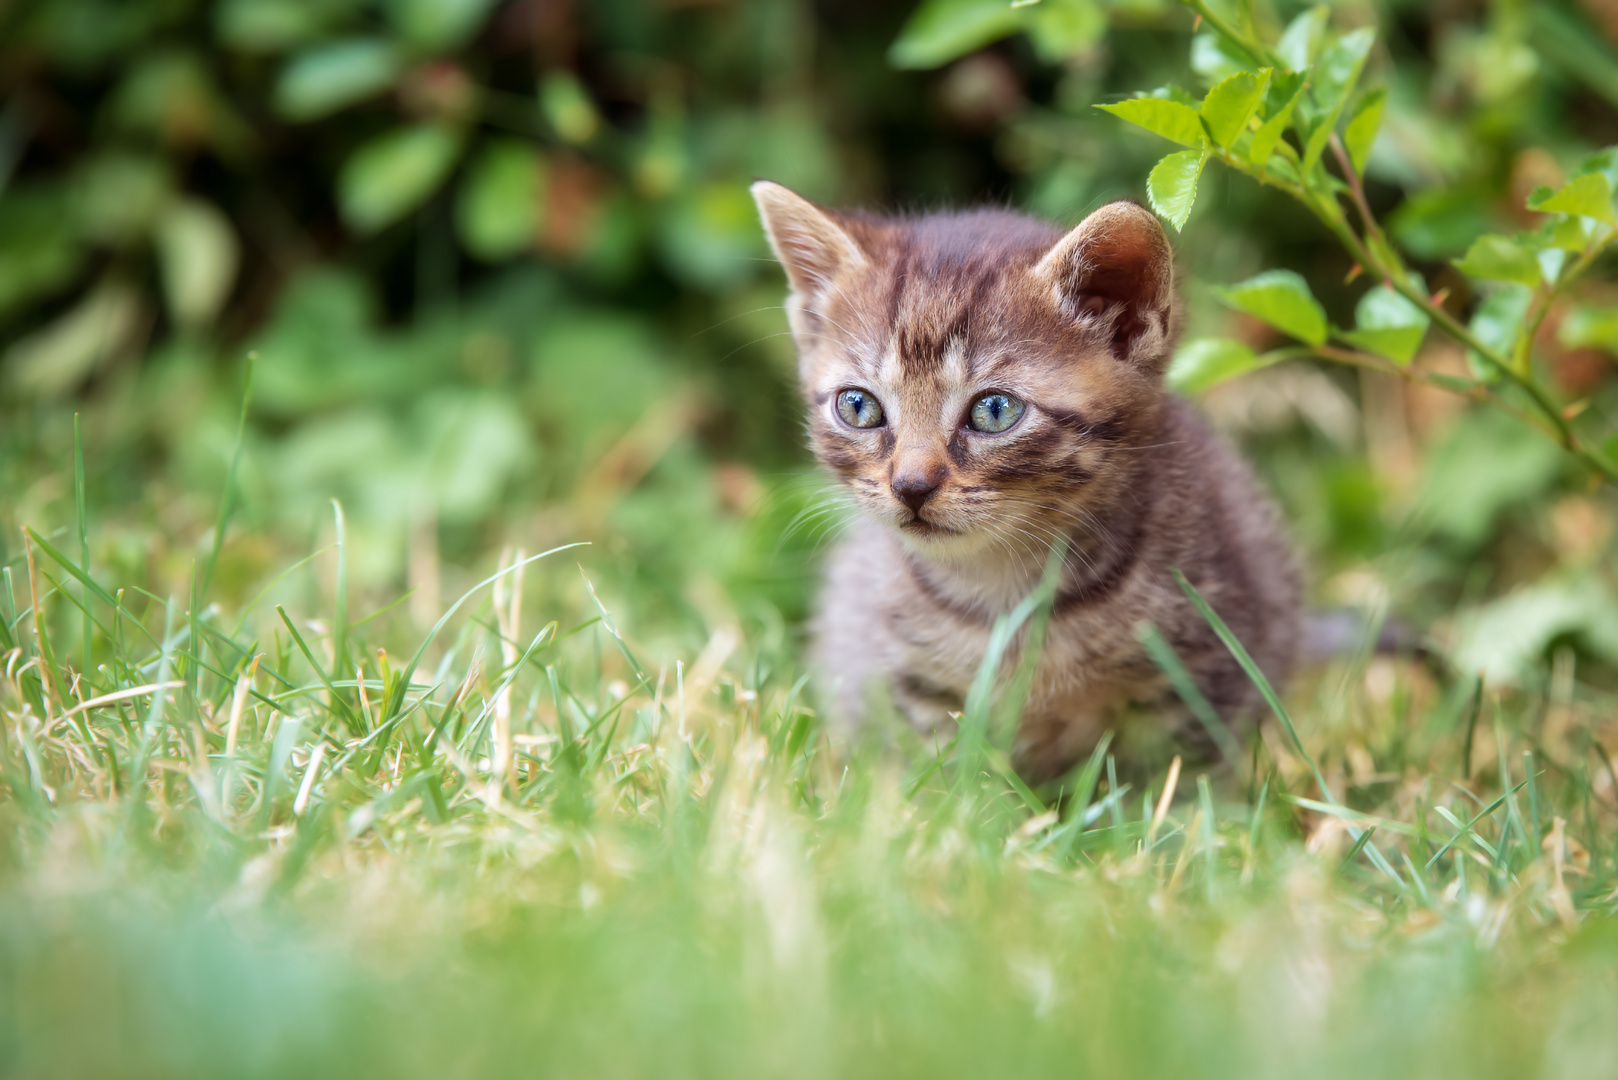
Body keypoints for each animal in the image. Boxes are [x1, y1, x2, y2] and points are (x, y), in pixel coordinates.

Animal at [753, 186, 1300, 786]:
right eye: (858, 407)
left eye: (994, 410)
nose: (911, 485)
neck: (1004, 586)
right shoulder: (908, 677)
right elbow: (943, 776)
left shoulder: (1206, 668)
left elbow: (1179, 777)